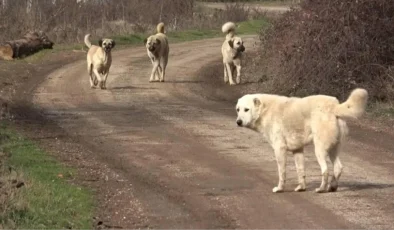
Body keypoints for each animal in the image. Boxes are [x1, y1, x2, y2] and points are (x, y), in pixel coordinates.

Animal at [234, 89, 370, 193]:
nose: (238, 122)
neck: (265, 110)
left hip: (319, 150)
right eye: (238, 109)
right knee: (338, 168)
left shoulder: (279, 149)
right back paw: (332, 187)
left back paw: (321, 189)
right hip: (333, 149)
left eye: (246, 109)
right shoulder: (297, 150)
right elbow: (301, 171)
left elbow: (282, 172)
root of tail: (334, 105)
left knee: (325, 170)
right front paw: (301, 188)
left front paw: (279, 188)